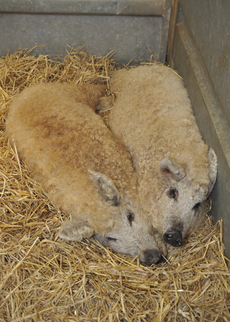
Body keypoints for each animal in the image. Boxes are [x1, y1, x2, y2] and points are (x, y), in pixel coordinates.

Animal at [5, 83, 164, 266]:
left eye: (130, 217)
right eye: (111, 238)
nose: (152, 257)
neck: (91, 198)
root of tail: (24, 94)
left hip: (72, 91)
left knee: (95, 90)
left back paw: (110, 98)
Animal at [102, 65, 217, 255]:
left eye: (196, 205)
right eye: (173, 192)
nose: (176, 236)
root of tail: (150, 66)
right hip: (121, 79)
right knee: (114, 77)